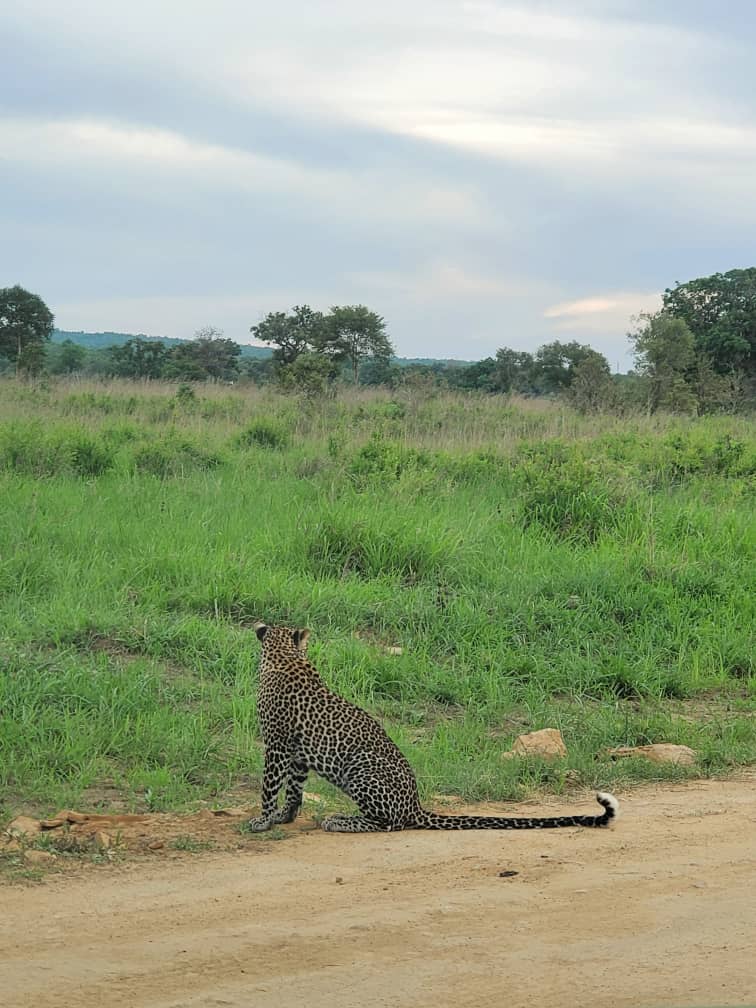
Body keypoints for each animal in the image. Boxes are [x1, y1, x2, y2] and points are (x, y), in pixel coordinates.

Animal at [245, 620, 616, 834]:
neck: (283, 657)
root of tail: (416, 805)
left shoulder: (276, 745)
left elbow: (269, 787)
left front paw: (262, 820)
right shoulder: (297, 752)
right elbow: (294, 789)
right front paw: (285, 817)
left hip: (361, 768)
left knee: (390, 823)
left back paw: (340, 821)